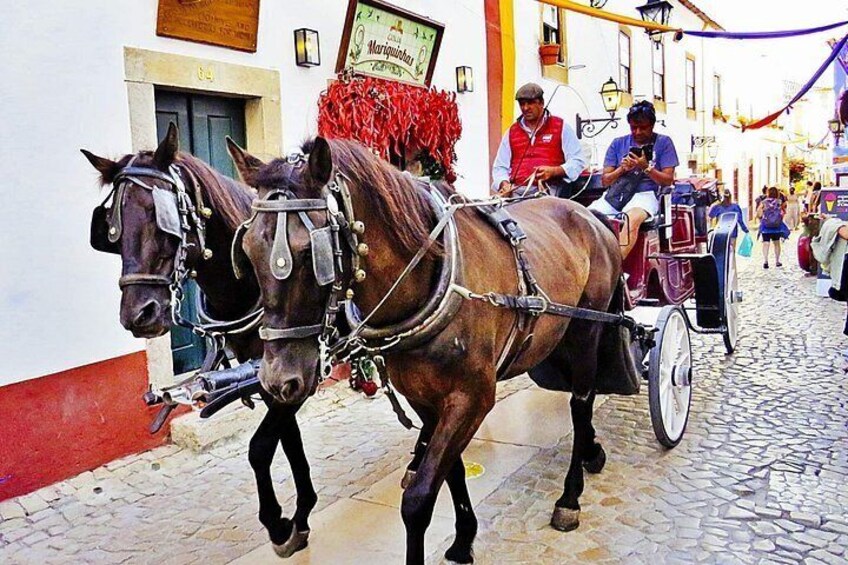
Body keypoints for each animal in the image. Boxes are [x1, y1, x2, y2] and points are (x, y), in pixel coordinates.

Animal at [81, 124, 317, 557]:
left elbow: (260, 448)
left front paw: (277, 522)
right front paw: (302, 515)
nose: (138, 315)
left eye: (163, 219)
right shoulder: (276, 379)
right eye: (110, 230)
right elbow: (289, 443)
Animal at [228, 135, 629, 564]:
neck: (429, 281)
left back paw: (570, 496)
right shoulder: (425, 398)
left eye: (310, 254)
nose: (275, 381)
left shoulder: (472, 398)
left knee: (581, 401)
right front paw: (464, 537)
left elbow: (418, 500)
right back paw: (591, 452)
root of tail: (589, 215)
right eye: (247, 252)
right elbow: (450, 471)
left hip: (587, 330)